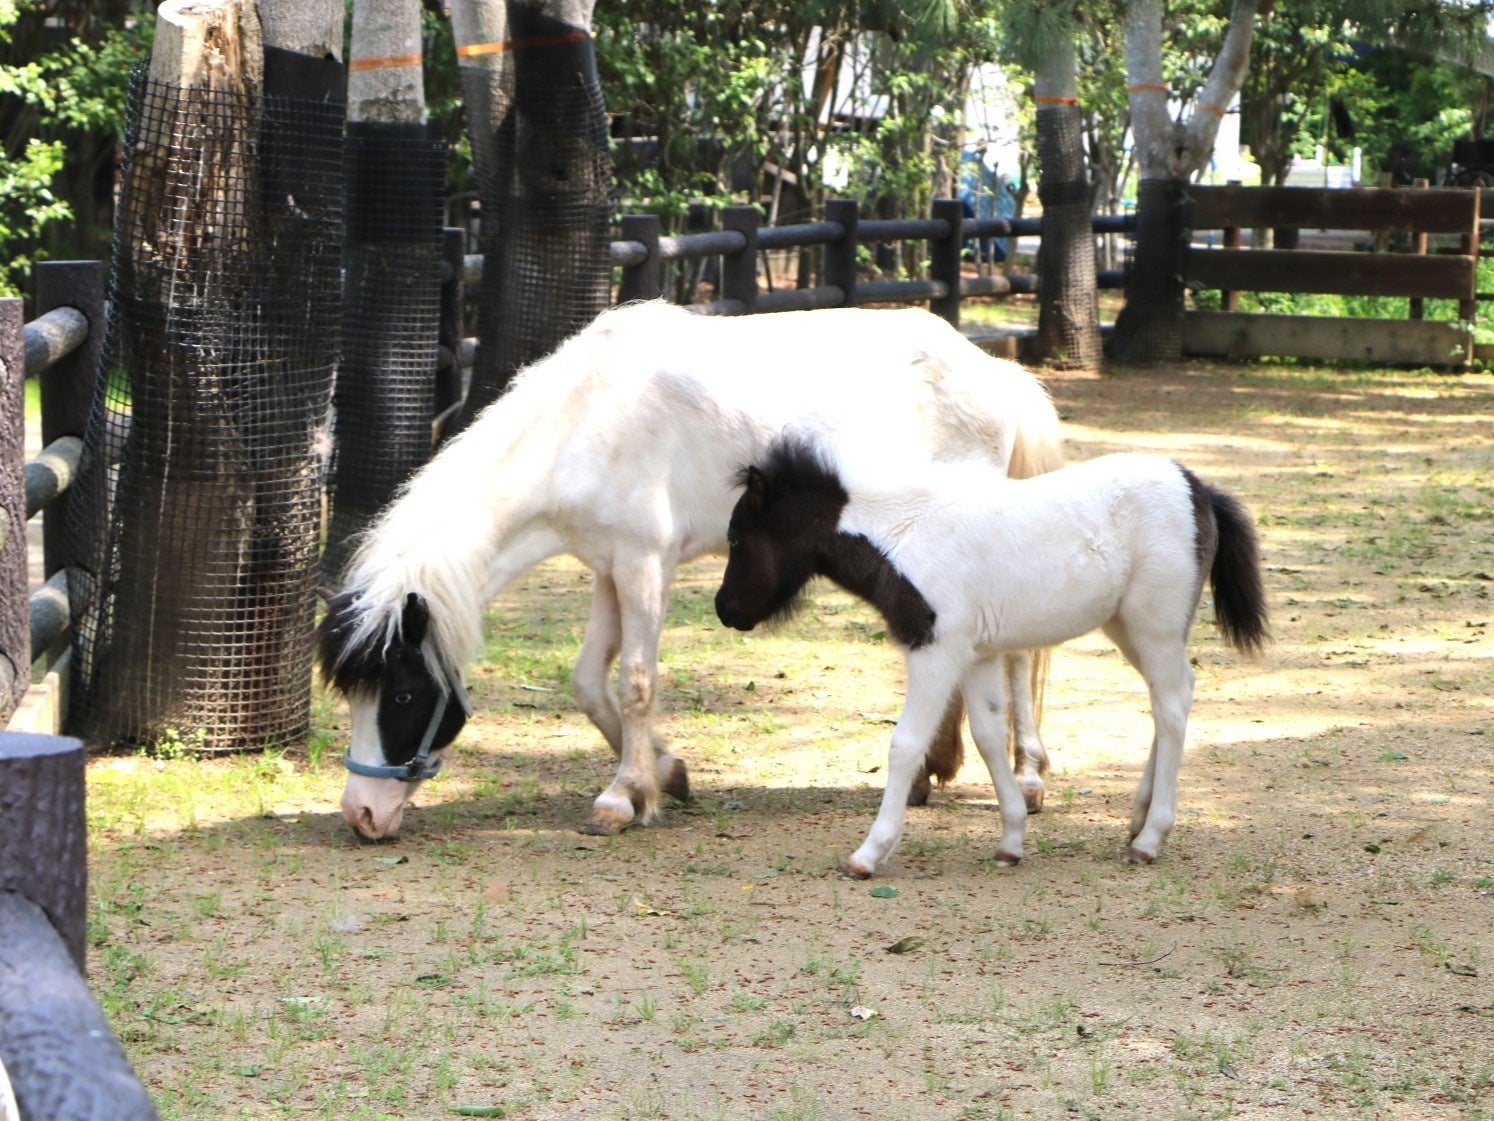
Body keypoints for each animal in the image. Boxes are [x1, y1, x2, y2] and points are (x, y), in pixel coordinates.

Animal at [318, 303, 1063, 837]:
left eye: (404, 694)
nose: (361, 815)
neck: (586, 420)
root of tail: (991, 370)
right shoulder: (608, 567)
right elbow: (588, 681)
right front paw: (667, 773)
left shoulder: (646, 564)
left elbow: (636, 682)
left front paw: (623, 797)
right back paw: (930, 770)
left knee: (1016, 653)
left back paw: (1028, 775)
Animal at [717, 436, 1266, 878]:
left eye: (737, 537)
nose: (725, 610)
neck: (904, 535)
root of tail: (1199, 488)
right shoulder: (975, 655)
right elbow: (985, 736)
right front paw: (1011, 842)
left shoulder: (935, 651)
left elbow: (906, 744)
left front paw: (868, 854)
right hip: (1129, 628)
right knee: (1170, 696)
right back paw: (1136, 821)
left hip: (1156, 624)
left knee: (1171, 706)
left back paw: (1150, 839)